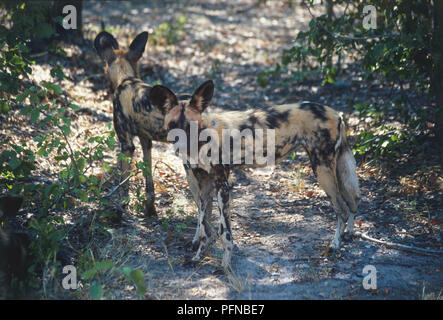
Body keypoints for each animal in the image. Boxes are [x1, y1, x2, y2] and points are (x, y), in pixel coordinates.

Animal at [93, 31, 166, 218]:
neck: (126, 78)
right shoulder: (146, 141)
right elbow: (149, 185)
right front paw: (150, 211)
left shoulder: (126, 144)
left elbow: (123, 184)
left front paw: (120, 209)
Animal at [151, 79, 362, 268]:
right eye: (173, 125)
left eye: (191, 126)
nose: (180, 147)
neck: (203, 140)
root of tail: (336, 113)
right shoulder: (204, 185)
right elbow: (205, 226)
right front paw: (198, 257)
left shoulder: (222, 186)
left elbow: (225, 232)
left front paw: (226, 265)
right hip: (332, 170)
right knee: (352, 200)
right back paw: (348, 234)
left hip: (322, 170)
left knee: (342, 209)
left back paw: (334, 245)